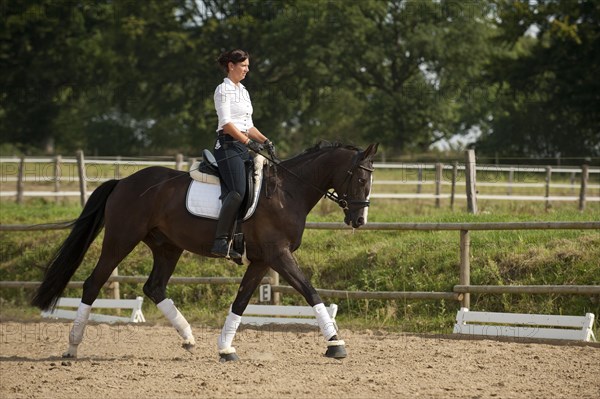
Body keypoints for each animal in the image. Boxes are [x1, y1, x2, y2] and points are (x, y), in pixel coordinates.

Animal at [31, 141, 376, 362]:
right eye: (360, 177)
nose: (359, 220)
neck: (286, 192)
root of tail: (124, 181)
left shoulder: (262, 260)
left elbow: (241, 301)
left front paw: (225, 349)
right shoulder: (278, 255)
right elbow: (310, 291)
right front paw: (335, 344)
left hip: (167, 247)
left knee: (154, 287)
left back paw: (188, 337)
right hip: (121, 240)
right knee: (93, 283)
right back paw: (72, 347)